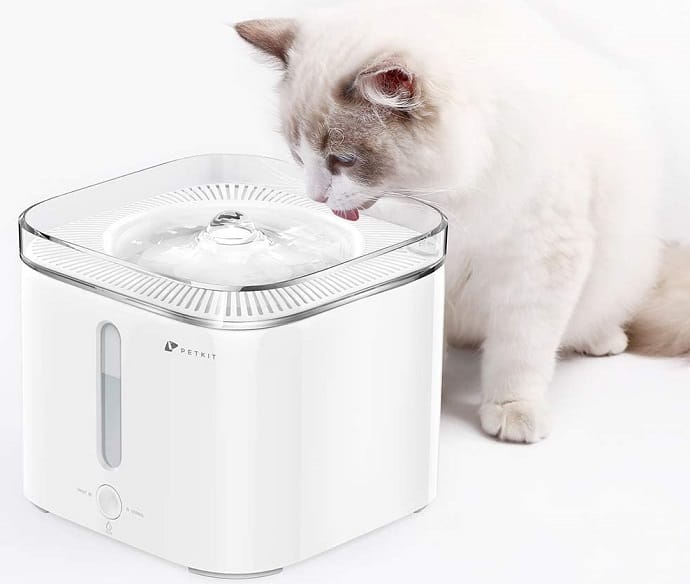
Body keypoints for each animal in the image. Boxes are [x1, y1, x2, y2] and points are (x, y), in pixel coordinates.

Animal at [236, 0, 688, 442]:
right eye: (298, 155)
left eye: (343, 160)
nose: (316, 195)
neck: (453, 196)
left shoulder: (539, 262)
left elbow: (520, 352)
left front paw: (511, 410)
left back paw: (602, 340)